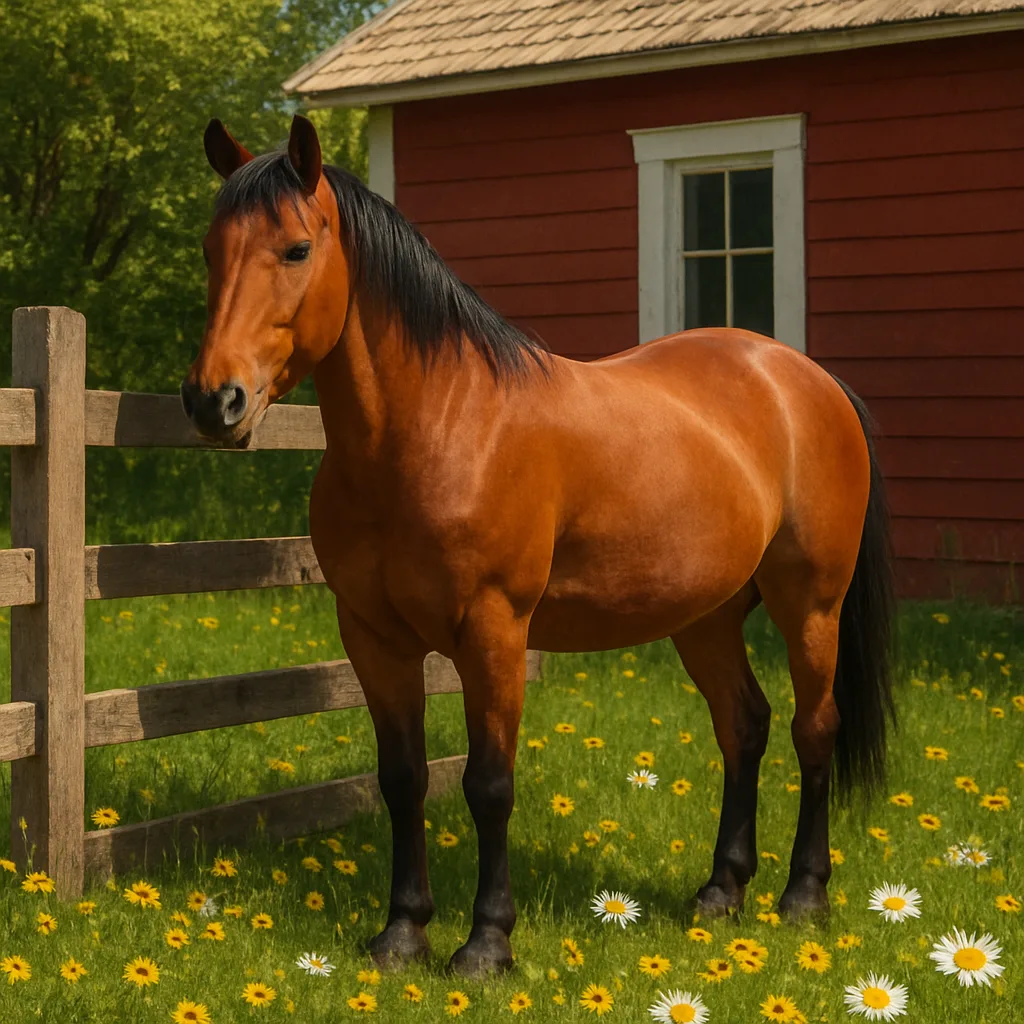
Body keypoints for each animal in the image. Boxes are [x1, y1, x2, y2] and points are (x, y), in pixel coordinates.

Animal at [182, 114, 895, 977]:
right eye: (211, 250)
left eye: (294, 249)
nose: (214, 401)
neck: (439, 427)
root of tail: (808, 379)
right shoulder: (375, 639)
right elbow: (403, 779)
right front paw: (402, 933)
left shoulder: (494, 633)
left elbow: (489, 784)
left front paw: (486, 944)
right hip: (706, 618)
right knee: (744, 726)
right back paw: (721, 890)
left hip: (810, 606)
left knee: (811, 730)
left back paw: (803, 895)